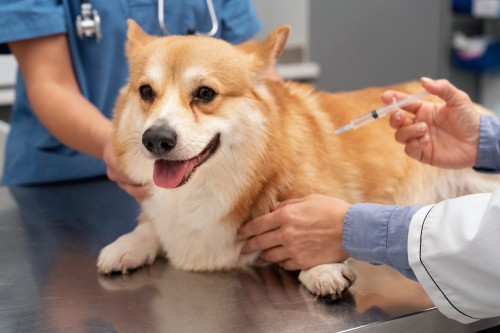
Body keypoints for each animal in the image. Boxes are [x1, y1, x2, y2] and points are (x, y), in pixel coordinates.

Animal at [96, 20, 496, 296]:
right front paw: (125, 246)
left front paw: (322, 270)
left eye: (205, 93)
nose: (156, 139)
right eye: (146, 92)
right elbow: (148, 227)